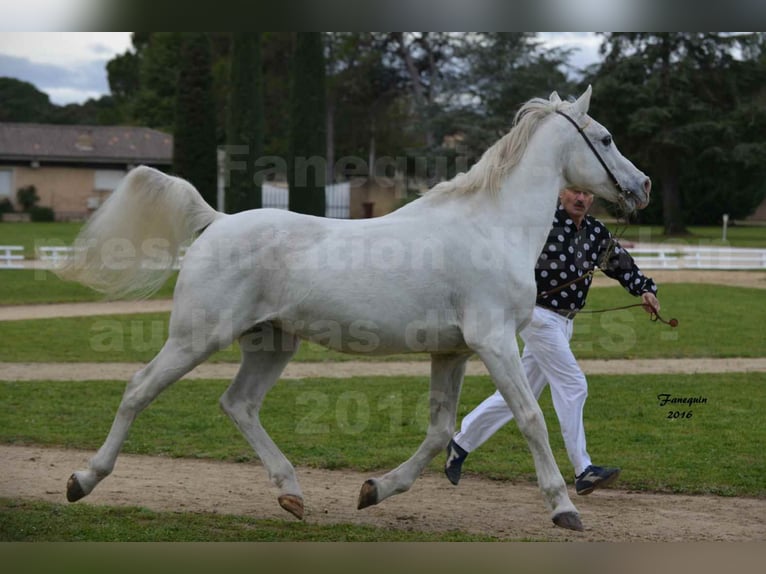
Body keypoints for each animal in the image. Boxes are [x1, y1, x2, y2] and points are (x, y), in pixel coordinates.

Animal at [57, 85, 650, 532]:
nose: (641, 186)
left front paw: (375, 490)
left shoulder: (453, 353)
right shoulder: (495, 341)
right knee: (140, 389)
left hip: (272, 343)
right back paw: (83, 480)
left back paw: (292, 494)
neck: (491, 226)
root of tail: (216, 220)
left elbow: (441, 431)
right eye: (605, 137)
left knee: (238, 404)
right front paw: (564, 508)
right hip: (196, 337)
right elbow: (530, 419)